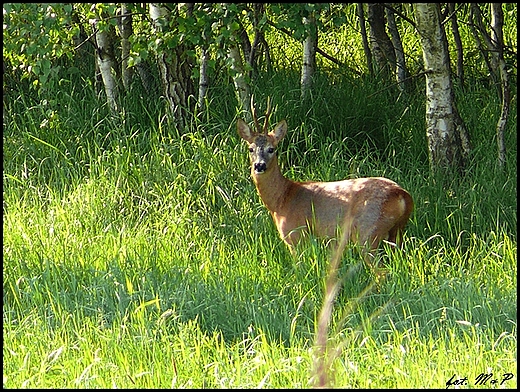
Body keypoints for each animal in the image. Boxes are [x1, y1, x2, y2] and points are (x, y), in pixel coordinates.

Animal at [237, 98, 414, 272]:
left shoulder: (295, 234)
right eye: (250, 148)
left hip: (368, 232)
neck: (282, 200)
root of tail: (401, 194)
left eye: (271, 149)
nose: (259, 166)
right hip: (396, 232)